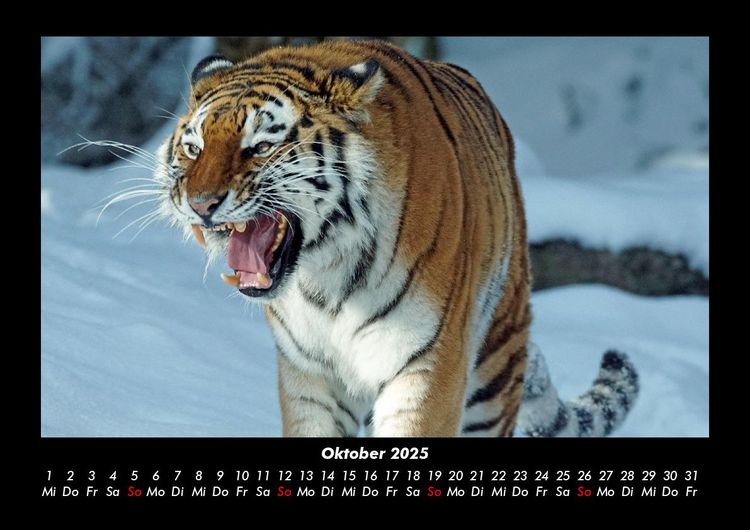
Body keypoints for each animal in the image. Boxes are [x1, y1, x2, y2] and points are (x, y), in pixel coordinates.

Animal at [153, 39, 639, 437]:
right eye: (194, 148)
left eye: (259, 147)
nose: (199, 203)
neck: (324, 274)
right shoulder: (309, 375)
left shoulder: (427, 366)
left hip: (495, 367)